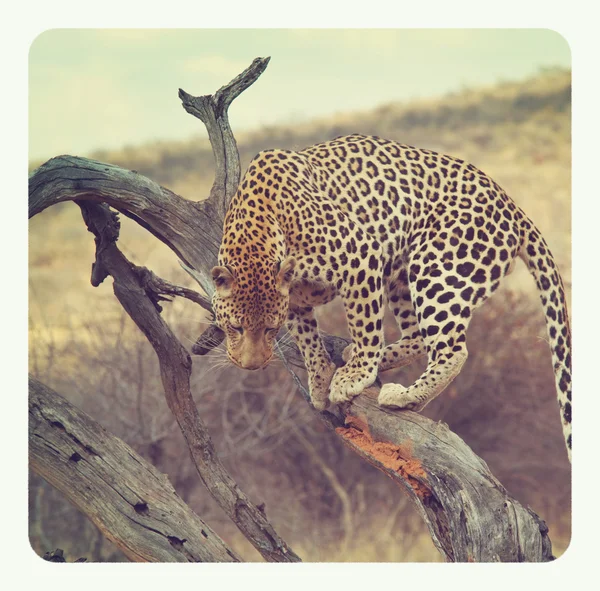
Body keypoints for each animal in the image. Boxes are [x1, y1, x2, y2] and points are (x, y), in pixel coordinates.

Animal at [211, 134, 572, 462]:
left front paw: (354, 376)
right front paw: (320, 378)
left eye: (271, 330)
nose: (251, 366)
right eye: (235, 327)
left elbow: (364, 323)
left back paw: (402, 396)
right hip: (401, 274)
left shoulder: (361, 256)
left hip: (437, 268)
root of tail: (512, 206)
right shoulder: (295, 298)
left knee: (452, 350)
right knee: (418, 337)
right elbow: (308, 340)